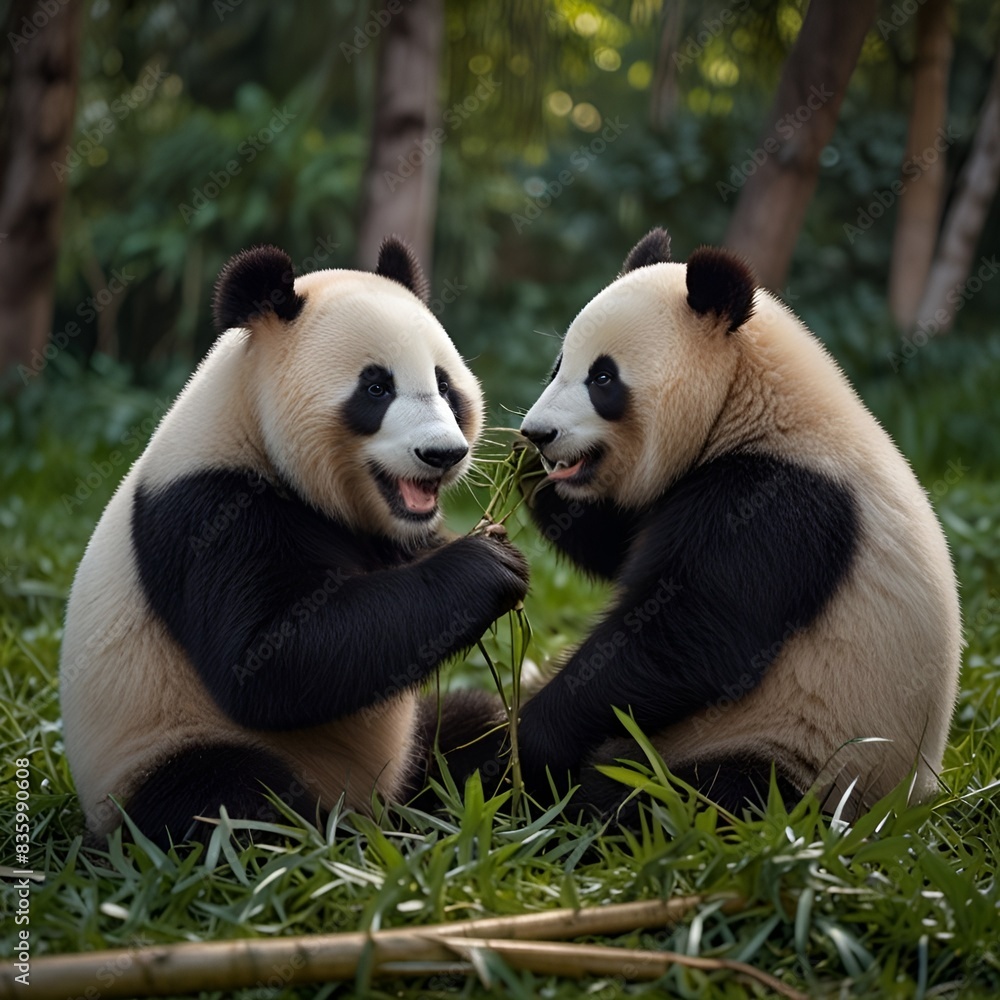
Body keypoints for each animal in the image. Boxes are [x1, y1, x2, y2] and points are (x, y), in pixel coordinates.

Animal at [59, 236, 528, 847]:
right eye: (376, 388)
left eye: (445, 385)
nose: (442, 454)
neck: (249, 423)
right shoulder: (209, 510)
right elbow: (271, 659)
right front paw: (488, 563)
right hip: (150, 758)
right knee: (227, 800)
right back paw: (334, 843)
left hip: (414, 750)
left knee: (475, 728)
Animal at [515, 227, 961, 820]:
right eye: (558, 365)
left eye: (603, 378)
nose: (538, 433)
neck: (750, 400)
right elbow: (617, 544)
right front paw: (519, 470)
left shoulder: (779, 503)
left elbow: (691, 636)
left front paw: (533, 737)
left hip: (804, 763)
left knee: (682, 804)